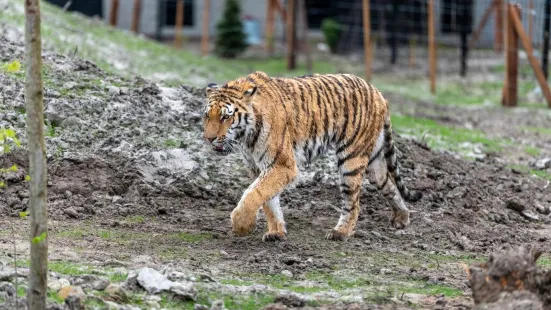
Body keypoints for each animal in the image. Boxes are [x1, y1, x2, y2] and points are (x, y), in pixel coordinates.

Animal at [203, 71, 422, 242]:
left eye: (225, 116)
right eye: (207, 115)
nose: (209, 138)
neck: (245, 137)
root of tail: (378, 92)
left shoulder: (282, 164)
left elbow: (254, 193)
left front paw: (242, 225)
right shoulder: (258, 167)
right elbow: (268, 200)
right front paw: (276, 232)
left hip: (351, 159)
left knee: (353, 202)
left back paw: (340, 233)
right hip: (373, 161)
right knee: (389, 184)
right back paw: (402, 218)